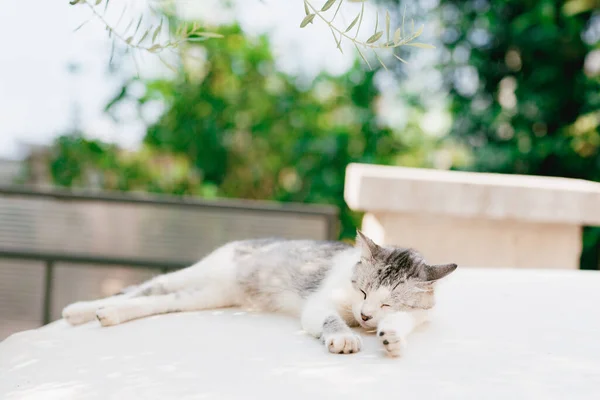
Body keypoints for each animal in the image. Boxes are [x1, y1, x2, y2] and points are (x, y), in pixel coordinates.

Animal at [63, 230, 458, 358]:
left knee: (151, 302)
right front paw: (344, 337)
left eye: (386, 301)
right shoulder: (319, 304)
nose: (364, 316)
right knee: (142, 288)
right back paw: (81, 310)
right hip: (198, 274)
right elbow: (331, 319)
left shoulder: (418, 315)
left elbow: (403, 324)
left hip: (204, 297)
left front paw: (391, 336)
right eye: (361, 290)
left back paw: (105, 316)